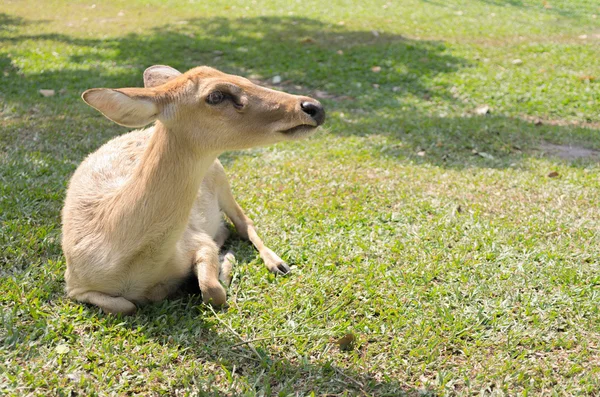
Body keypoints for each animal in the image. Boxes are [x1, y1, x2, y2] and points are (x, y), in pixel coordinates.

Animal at [61, 65, 326, 314]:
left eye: (245, 79)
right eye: (216, 95)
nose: (314, 106)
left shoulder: (196, 239)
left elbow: (213, 290)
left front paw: (226, 262)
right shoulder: (75, 284)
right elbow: (126, 306)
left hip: (222, 178)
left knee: (244, 224)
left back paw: (278, 264)